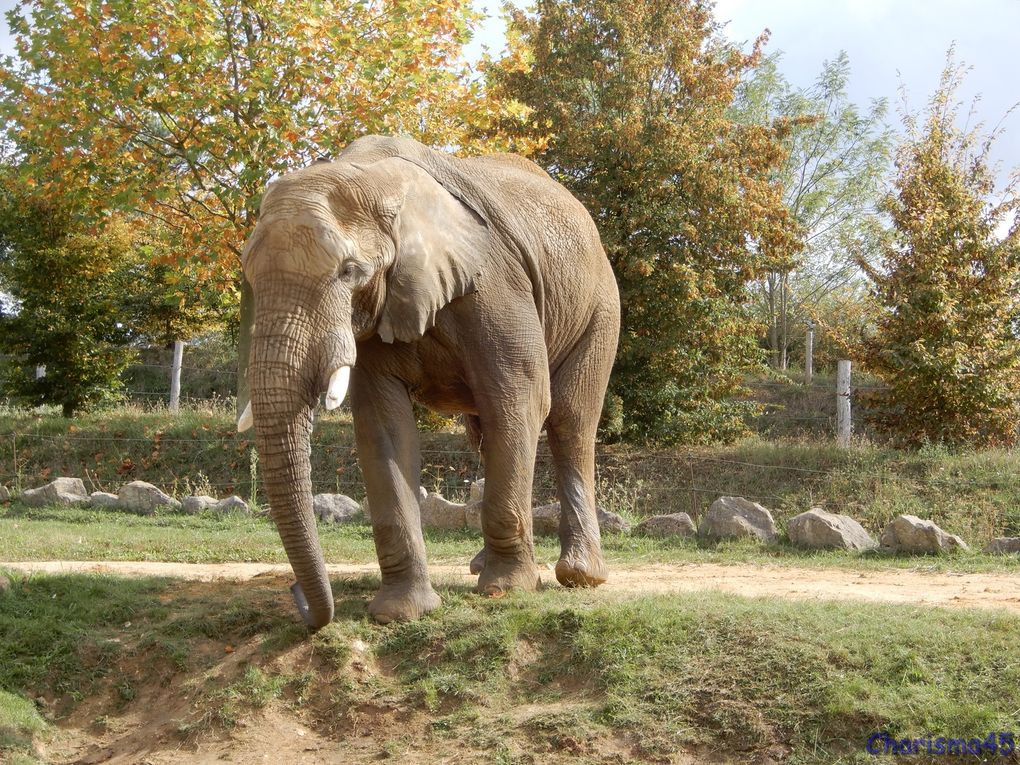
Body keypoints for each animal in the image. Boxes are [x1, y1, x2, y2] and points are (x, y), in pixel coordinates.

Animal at [236, 136, 620, 628]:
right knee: (485, 433)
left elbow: (522, 398)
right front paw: (400, 613)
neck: (371, 175)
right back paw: (483, 566)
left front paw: (507, 591)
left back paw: (578, 576)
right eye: (248, 275)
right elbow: (382, 425)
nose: (298, 597)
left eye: (349, 271)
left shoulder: (494, 284)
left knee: (569, 421)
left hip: (600, 308)